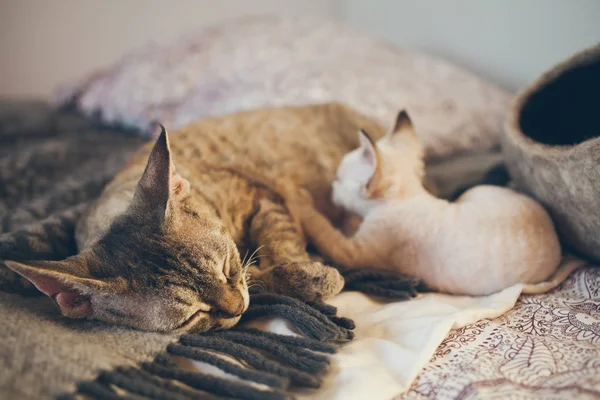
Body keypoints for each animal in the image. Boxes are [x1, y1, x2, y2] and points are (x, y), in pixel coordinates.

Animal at [4, 102, 390, 332]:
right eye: (193, 316)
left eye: (226, 268)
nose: (237, 308)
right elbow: (260, 278)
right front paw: (303, 277)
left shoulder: (263, 197)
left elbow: (277, 246)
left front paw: (305, 272)